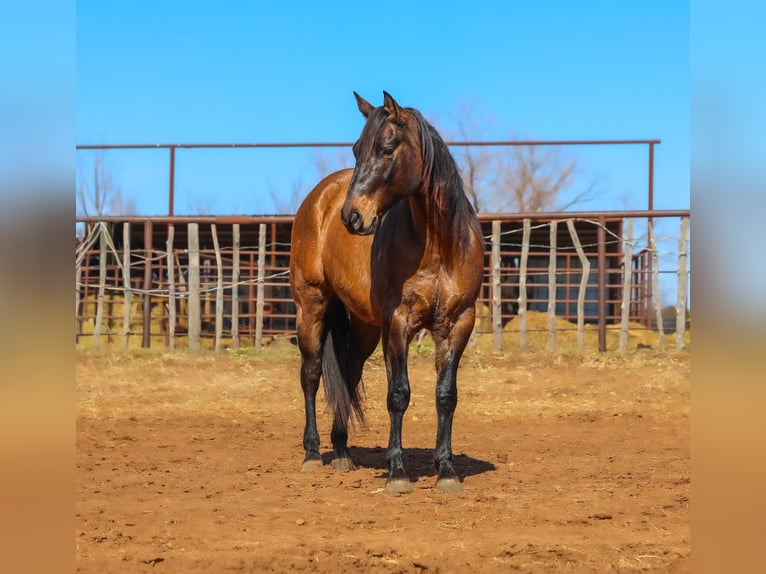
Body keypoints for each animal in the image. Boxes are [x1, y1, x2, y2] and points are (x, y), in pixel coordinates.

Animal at [289, 92, 484, 493]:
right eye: (355, 149)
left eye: (387, 149)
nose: (352, 217)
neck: (439, 247)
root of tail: (319, 199)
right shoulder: (397, 322)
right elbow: (398, 395)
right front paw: (397, 472)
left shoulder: (458, 322)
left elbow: (446, 396)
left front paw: (446, 470)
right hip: (311, 307)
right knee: (311, 375)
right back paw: (313, 454)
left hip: (363, 327)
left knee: (348, 375)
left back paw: (342, 452)